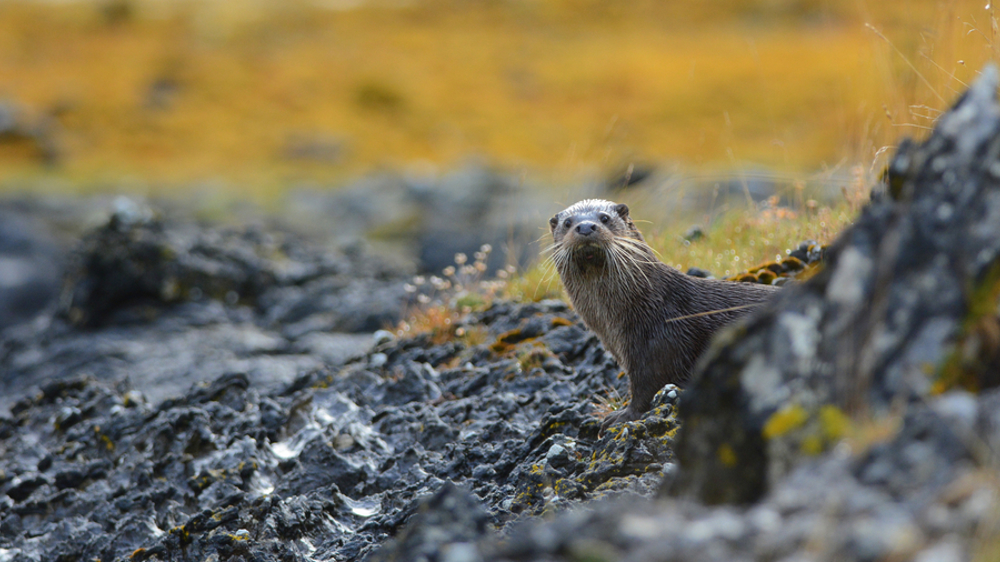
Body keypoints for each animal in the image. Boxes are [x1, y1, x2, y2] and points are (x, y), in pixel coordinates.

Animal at [548, 199, 777, 431]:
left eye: (605, 218)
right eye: (567, 223)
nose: (586, 227)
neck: (647, 306)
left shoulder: (659, 347)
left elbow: (648, 386)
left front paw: (623, 415)